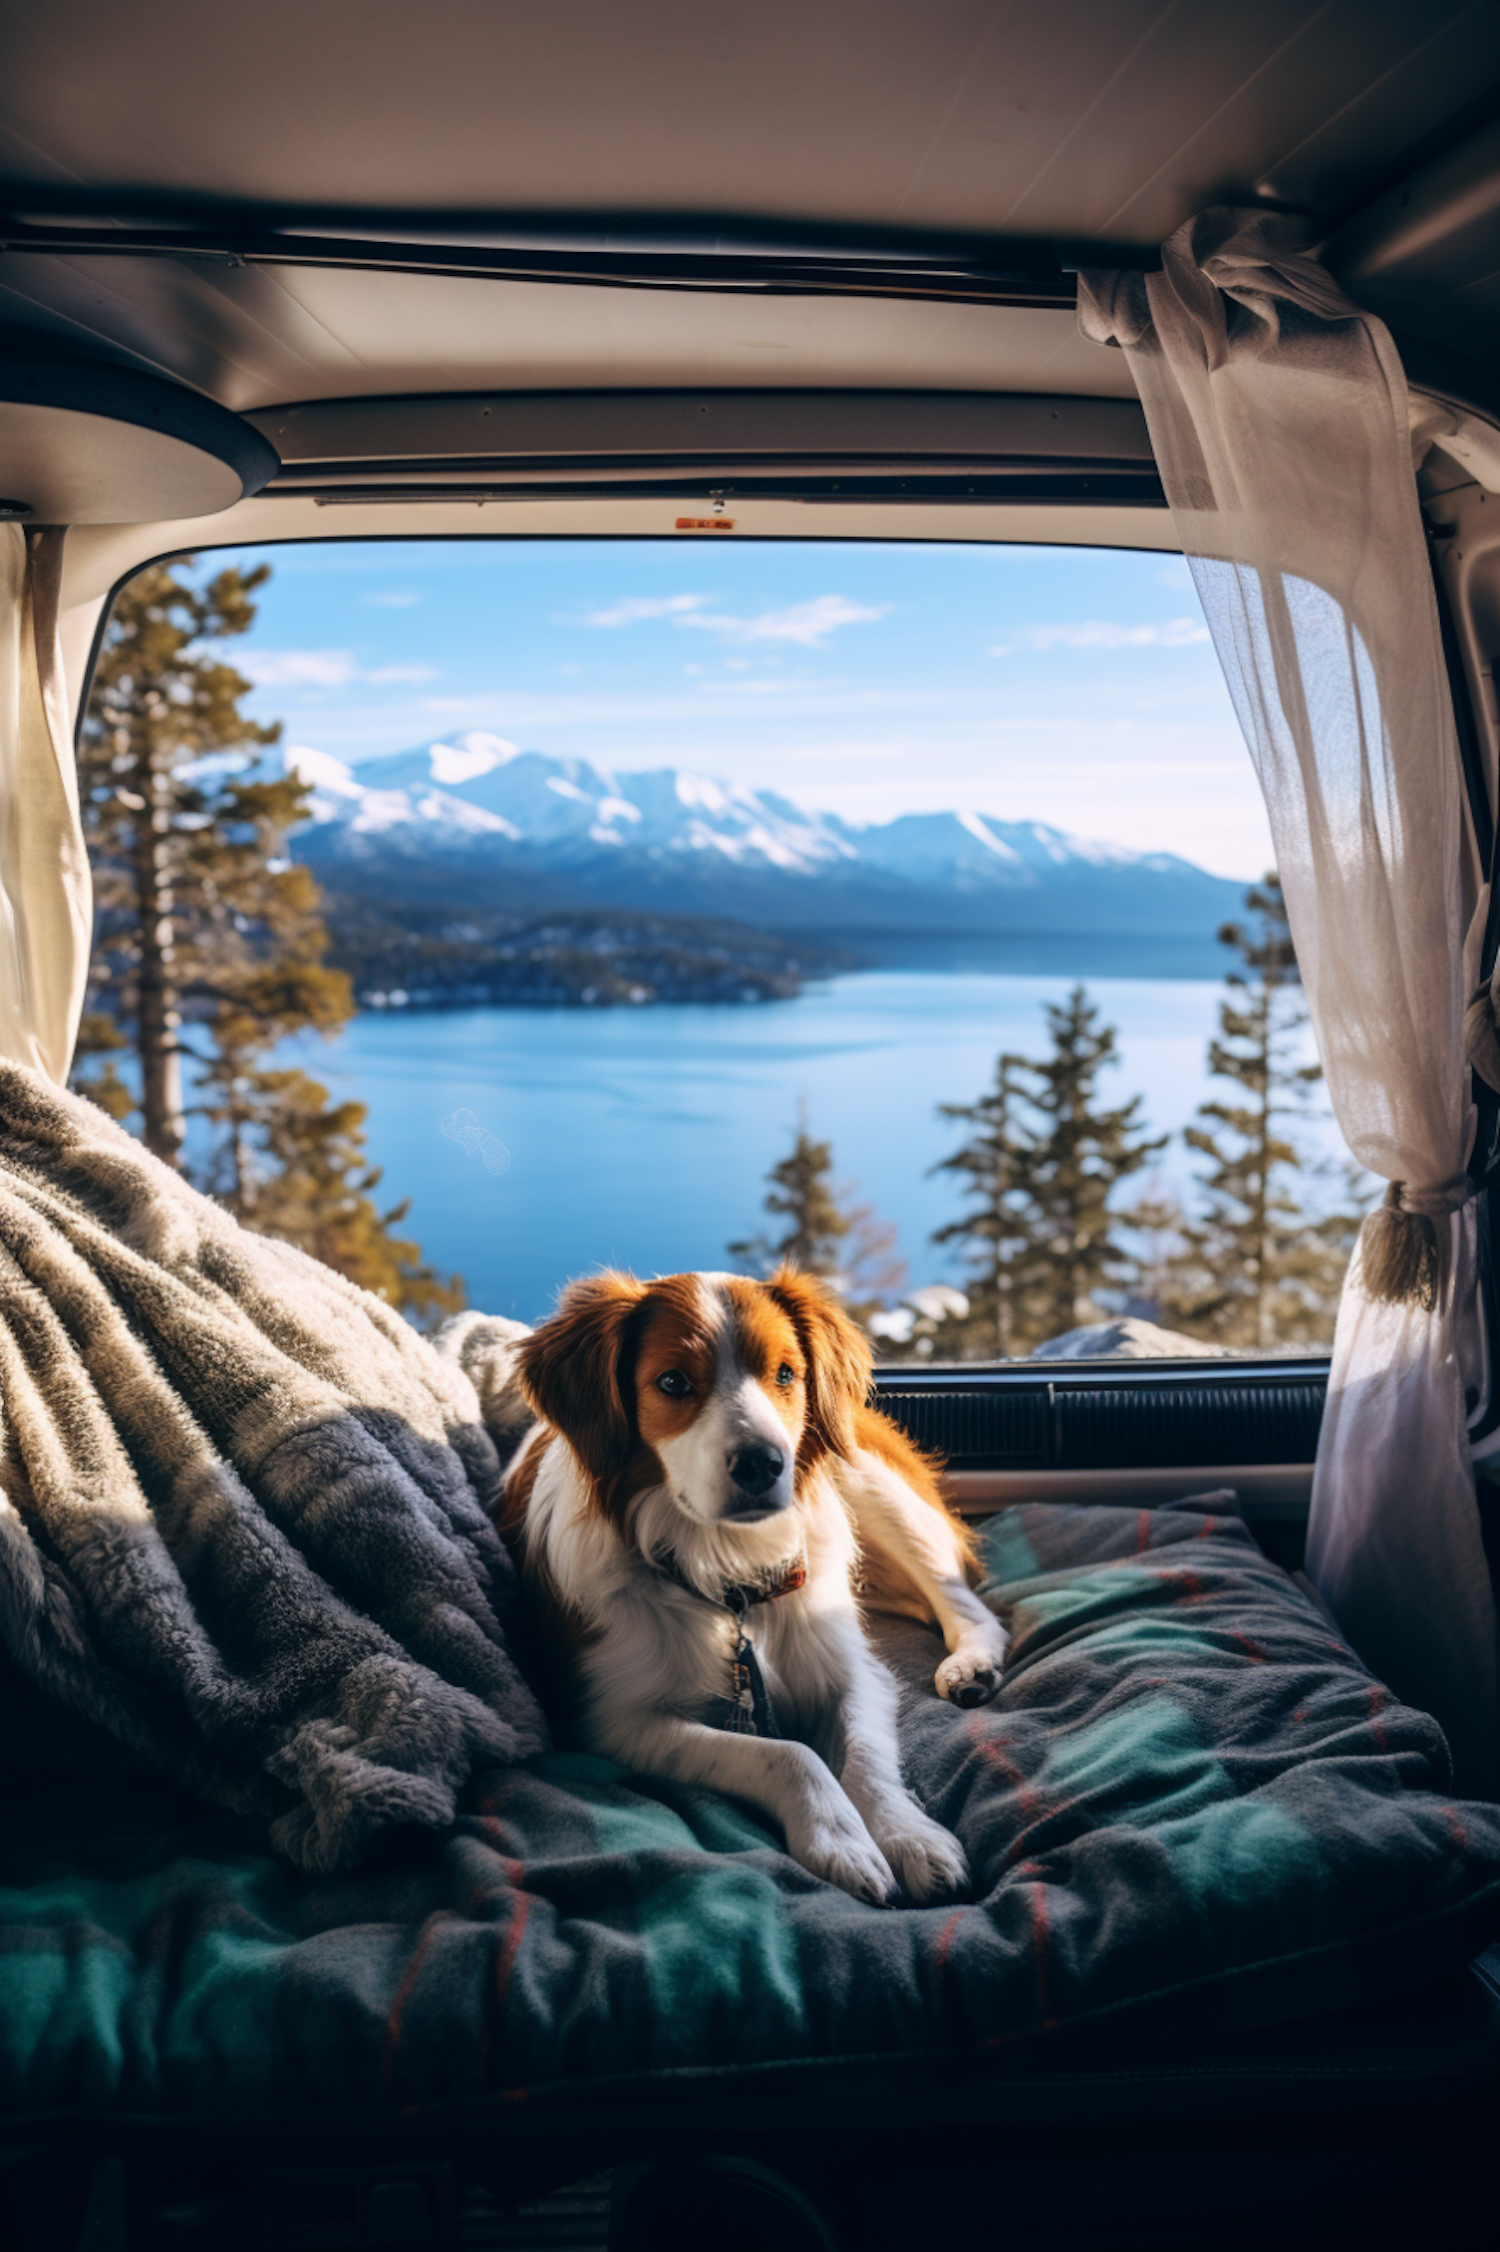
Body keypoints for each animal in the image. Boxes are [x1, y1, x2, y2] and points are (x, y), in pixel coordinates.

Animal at [495, 1270, 1000, 1900]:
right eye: (673, 1381)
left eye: (785, 1374)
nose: (763, 1462)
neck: (727, 1568)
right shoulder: (611, 1721)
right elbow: (789, 1755)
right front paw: (842, 1839)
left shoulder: (853, 1672)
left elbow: (865, 1760)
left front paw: (911, 1836)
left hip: (872, 1483)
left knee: (967, 1603)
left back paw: (971, 1665)